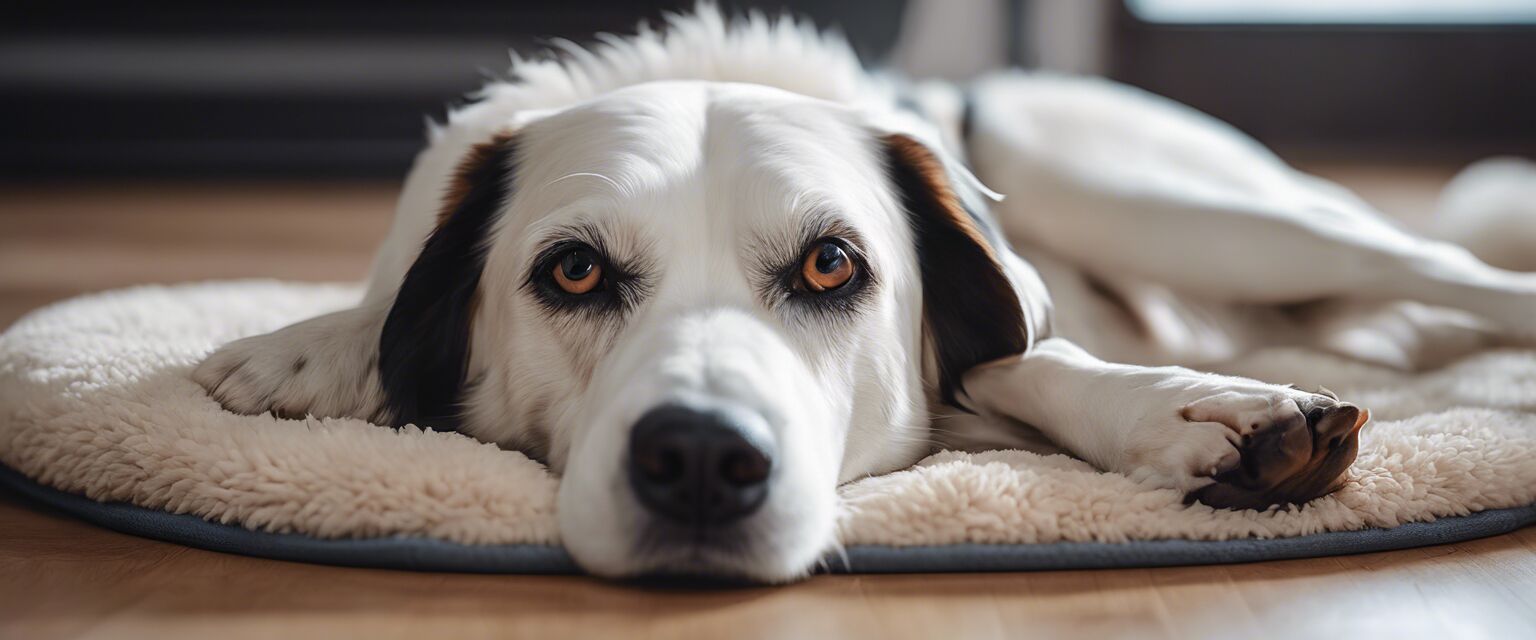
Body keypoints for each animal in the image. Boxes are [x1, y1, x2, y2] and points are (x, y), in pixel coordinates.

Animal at [192, 6, 1536, 583]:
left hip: (1184, 210)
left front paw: (1203, 413)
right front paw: (312, 350)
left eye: (831, 265)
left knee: (1458, 275)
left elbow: (1035, 354)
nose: (697, 460)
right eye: (572, 271)